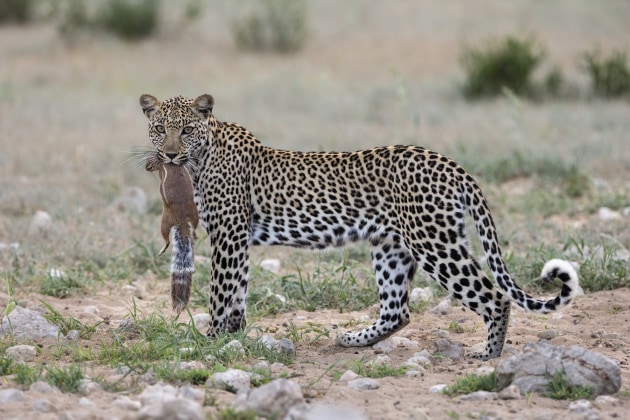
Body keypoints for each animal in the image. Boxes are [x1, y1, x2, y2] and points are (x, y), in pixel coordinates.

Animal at [139, 93, 584, 360]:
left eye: (186, 129)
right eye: (160, 128)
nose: (170, 154)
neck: (201, 158)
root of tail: (451, 164)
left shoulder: (229, 234)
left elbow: (221, 292)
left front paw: (210, 340)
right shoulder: (238, 238)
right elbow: (238, 292)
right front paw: (233, 335)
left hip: (434, 243)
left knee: (494, 296)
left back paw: (488, 355)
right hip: (391, 246)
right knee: (397, 310)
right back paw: (351, 339)